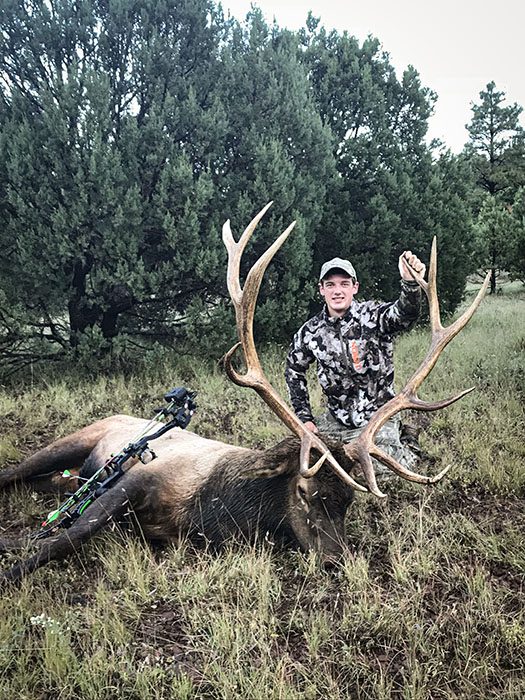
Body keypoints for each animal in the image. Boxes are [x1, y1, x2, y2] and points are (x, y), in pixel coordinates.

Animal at [0, 203, 490, 584]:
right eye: (304, 493)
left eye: (349, 502)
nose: (337, 562)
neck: (213, 510)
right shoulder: (134, 481)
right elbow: (62, 539)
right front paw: (14, 560)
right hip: (79, 438)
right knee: (16, 473)